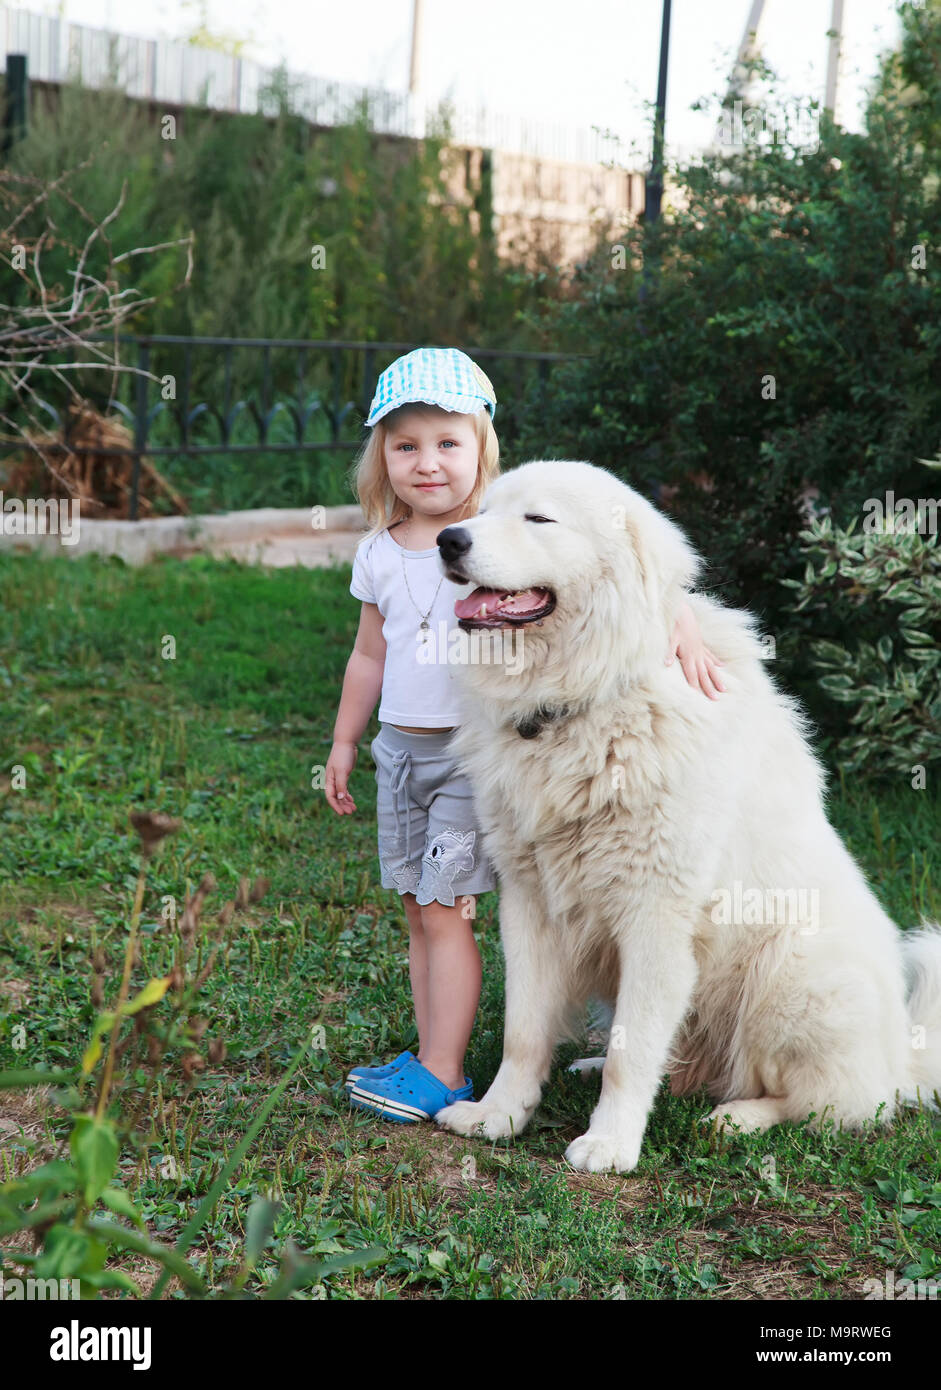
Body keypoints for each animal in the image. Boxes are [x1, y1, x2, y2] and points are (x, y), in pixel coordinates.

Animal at [430, 464, 939, 1173]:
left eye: (539, 519)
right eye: (483, 509)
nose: (448, 539)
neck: (585, 701)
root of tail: (903, 1060)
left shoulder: (656, 917)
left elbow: (633, 1050)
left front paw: (610, 1146)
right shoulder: (530, 901)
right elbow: (523, 1032)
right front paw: (498, 1116)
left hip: (792, 975)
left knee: (832, 1105)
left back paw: (738, 1118)